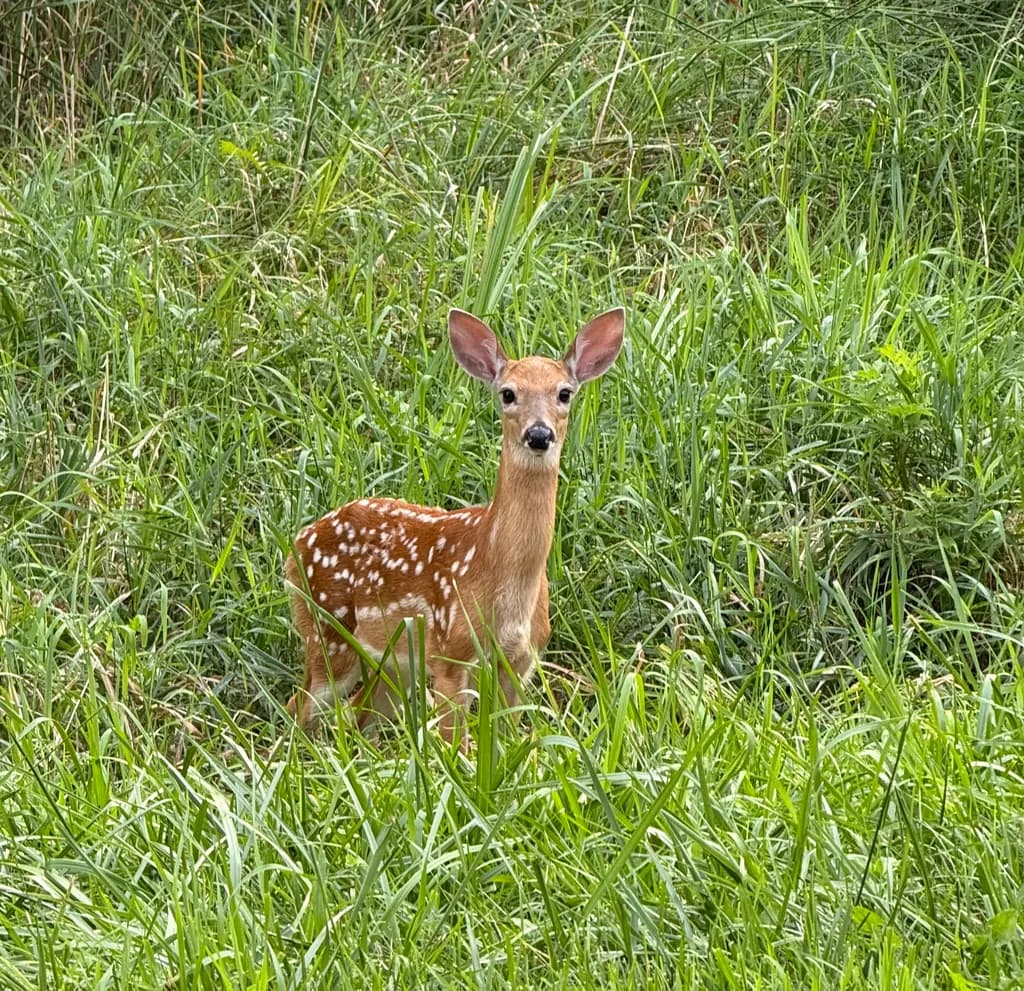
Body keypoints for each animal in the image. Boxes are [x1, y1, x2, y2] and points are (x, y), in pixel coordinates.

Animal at [285, 306, 625, 747]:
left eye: (565, 393)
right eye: (508, 393)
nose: (539, 434)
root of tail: (296, 545)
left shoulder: (522, 660)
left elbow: (506, 737)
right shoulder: (450, 652)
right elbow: (455, 744)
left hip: (393, 662)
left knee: (361, 716)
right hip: (326, 631)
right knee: (298, 708)